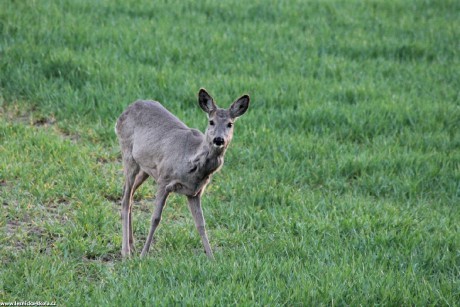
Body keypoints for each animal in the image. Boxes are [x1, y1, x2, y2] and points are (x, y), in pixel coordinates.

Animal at [115, 89, 252, 260]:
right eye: (211, 122)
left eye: (230, 124)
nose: (219, 139)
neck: (192, 162)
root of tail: (124, 113)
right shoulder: (164, 179)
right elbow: (155, 218)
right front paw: (143, 255)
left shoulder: (195, 192)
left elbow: (201, 224)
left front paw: (212, 258)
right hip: (128, 154)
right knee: (126, 199)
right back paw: (126, 251)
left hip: (145, 167)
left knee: (129, 194)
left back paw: (132, 245)